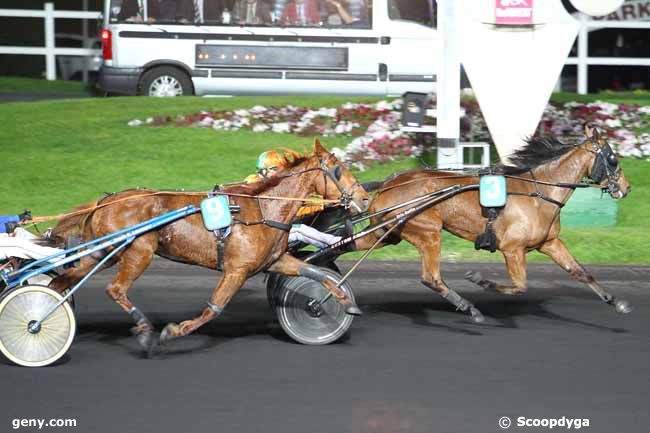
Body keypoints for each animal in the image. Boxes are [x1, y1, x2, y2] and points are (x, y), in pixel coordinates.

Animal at [48, 142, 368, 352]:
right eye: (338, 171)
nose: (364, 199)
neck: (263, 207)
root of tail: (106, 200)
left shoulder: (275, 261)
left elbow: (320, 274)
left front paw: (344, 303)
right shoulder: (236, 270)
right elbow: (214, 308)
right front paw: (172, 332)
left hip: (102, 252)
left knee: (61, 281)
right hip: (138, 251)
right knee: (114, 289)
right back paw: (145, 329)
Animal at [356, 126, 632, 322]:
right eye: (613, 159)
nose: (627, 188)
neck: (537, 193)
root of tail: (387, 184)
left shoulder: (550, 243)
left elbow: (580, 272)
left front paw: (616, 301)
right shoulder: (513, 249)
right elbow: (520, 287)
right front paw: (480, 280)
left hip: (387, 233)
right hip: (427, 231)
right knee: (430, 278)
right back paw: (469, 308)